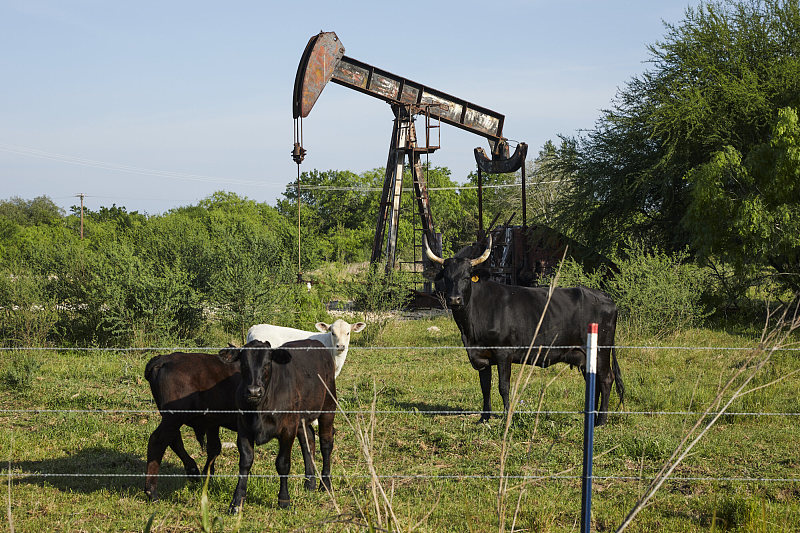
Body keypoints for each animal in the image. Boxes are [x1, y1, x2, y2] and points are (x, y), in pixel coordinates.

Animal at [424, 236, 624, 424]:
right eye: (447, 278)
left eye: (466, 277)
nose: (454, 299)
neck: (470, 330)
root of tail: (605, 297)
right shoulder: (480, 356)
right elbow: (485, 387)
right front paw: (484, 418)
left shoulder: (504, 353)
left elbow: (503, 386)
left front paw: (506, 417)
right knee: (594, 381)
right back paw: (592, 417)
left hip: (601, 351)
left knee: (606, 379)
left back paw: (601, 422)